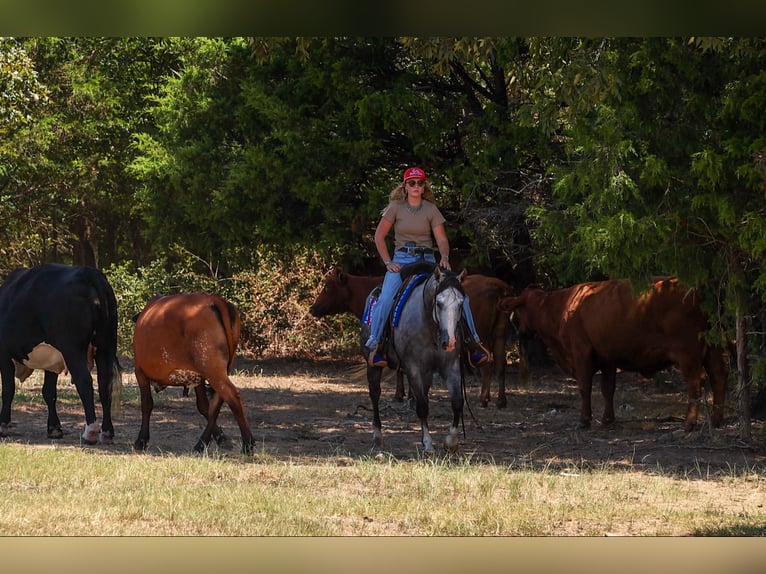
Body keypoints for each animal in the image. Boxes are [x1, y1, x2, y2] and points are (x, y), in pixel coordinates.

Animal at [362, 264, 467, 454]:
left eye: (461, 303)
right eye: (439, 303)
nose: (449, 342)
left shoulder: (451, 366)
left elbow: (457, 402)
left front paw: (451, 441)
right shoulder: (413, 368)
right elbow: (422, 407)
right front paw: (428, 444)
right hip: (372, 364)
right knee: (375, 394)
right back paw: (377, 436)